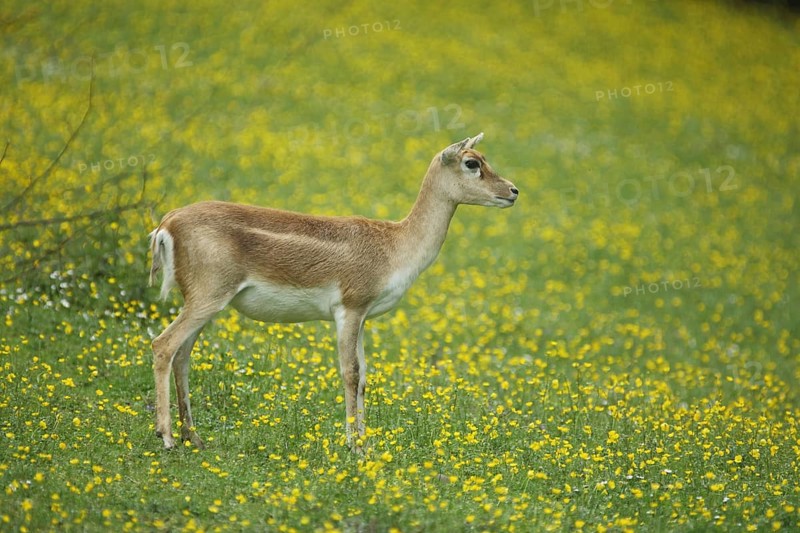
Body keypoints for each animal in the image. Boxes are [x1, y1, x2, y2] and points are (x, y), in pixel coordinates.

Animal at [148, 133, 519, 451]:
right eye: (471, 163)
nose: (513, 191)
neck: (394, 245)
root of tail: (167, 223)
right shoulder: (349, 309)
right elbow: (350, 373)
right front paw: (354, 446)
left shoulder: (364, 316)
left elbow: (365, 376)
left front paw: (365, 443)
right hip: (207, 298)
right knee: (163, 345)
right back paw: (166, 438)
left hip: (206, 304)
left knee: (182, 356)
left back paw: (194, 438)